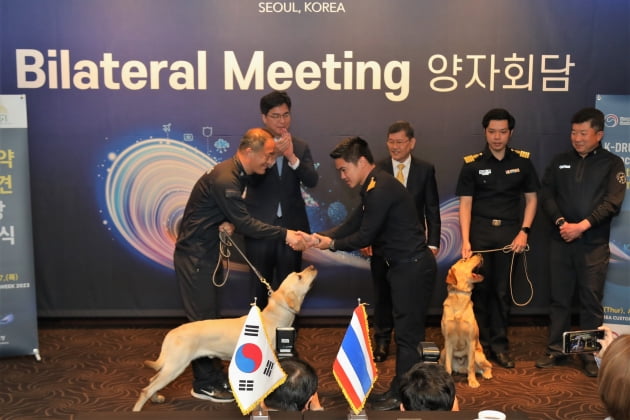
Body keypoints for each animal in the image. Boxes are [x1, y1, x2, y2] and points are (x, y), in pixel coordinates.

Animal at [135, 264, 318, 412]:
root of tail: (172, 332)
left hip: (170, 366)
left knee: (151, 381)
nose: (312, 266)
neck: (273, 317)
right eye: (299, 276)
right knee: (146, 389)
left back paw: (156, 398)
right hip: (175, 367)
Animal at [440, 253, 494, 388]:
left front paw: (472, 381)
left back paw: (487, 374)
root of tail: (460, 369)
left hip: (478, 355)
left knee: (488, 366)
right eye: (464, 260)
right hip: (443, 352)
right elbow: (448, 366)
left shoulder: (471, 341)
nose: (479, 253)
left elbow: (471, 366)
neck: (460, 297)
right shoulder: (448, 341)